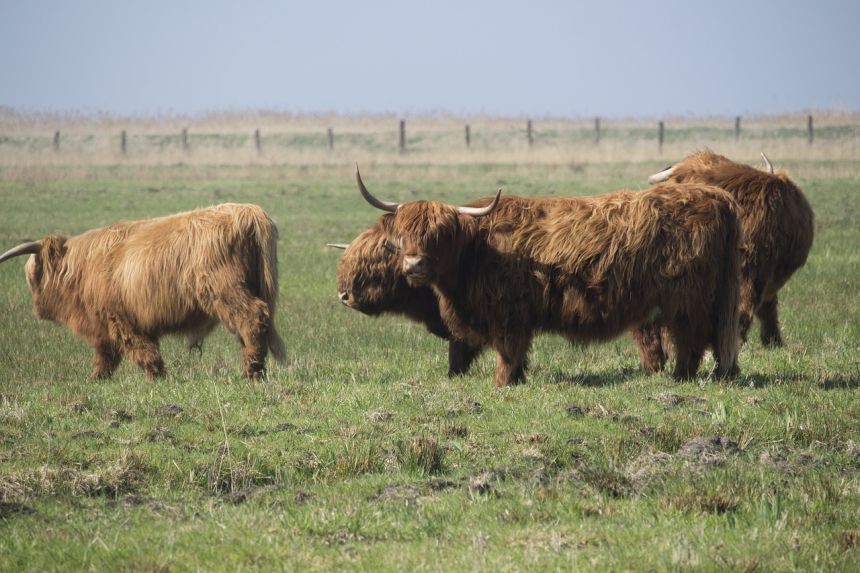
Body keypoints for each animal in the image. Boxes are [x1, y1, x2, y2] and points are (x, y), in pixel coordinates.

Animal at [0, 202, 288, 380]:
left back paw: (252, 371)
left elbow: (139, 349)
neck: (82, 269)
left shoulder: (118, 318)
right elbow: (107, 356)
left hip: (225, 291)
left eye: (32, 277)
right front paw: (96, 379)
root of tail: (249, 212)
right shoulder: (107, 326)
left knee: (252, 318)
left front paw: (156, 376)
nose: (37, 310)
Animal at [352, 168, 744, 386]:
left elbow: (508, 352)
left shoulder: (509, 315)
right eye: (403, 234)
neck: (477, 250)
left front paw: (503, 384)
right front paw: (517, 379)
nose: (414, 265)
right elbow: (515, 355)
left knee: (691, 339)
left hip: (686, 297)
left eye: (440, 235)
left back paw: (680, 378)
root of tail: (714, 195)